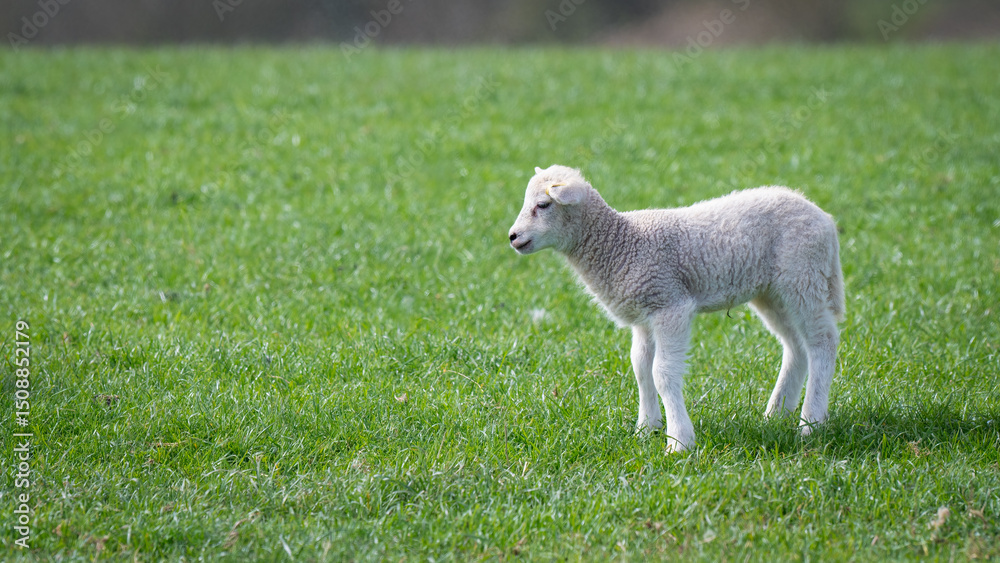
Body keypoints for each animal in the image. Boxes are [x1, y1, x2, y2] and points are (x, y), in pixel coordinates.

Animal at [508, 165, 844, 452]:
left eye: (543, 205)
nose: (512, 237)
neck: (621, 243)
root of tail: (825, 219)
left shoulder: (671, 305)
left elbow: (662, 372)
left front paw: (679, 441)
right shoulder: (644, 313)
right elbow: (640, 366)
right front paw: (646, 428)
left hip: (802, 277)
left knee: (822, 341)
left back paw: (811, 423)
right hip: (771, 292)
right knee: (795, 345)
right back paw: (777, 413)